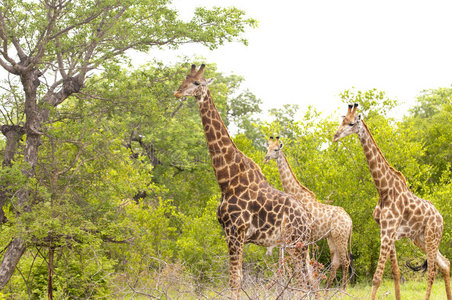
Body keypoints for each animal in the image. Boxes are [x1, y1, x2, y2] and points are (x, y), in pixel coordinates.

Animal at [174, 64, 314, 298]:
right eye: (184, 78)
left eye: (197, 83)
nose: (178, 92)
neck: (227, 179)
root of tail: (307, 219)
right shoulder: (228, 233)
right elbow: (236, 278)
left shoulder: (236, 232)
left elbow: (235, 280)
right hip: (300, 244)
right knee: (310, 279)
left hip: (294, 242)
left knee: (303, 282)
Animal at [264, 135, 354, 290]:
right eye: (267, 148)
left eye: (276, 149)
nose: (266, 157)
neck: (296, 193)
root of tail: (350, 220)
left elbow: (302, 262)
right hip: (331, 237)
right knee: (336, 262)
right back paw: (326, 291)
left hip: (340, 237)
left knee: (345, 261)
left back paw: (343, 291)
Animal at [332, 103, 452, 300]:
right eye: (342, 121)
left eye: (351, 124)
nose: (335, 136)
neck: (384, 190)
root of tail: (441, 218)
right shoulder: (387, 231)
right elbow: (396, 272)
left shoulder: (388, 232)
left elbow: (377, 277)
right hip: (419, 238)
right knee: (445, 263)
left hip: (432, 235)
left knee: (433, 271)